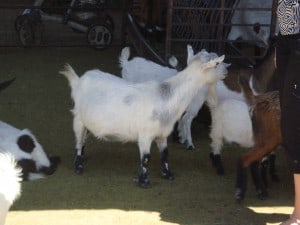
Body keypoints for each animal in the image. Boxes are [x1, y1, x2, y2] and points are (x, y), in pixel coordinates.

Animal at [61, 53, 227, 187]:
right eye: (216, 63)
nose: (227, 70)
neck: (166, 97)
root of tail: (78, 80)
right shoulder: (145, 135)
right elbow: (146, 158)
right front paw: (144, 181)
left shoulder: (162, 134)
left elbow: (165, 154)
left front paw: (168, 174)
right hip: (78, 118)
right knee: (78, 141)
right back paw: (78, 166)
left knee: (83, 139)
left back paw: (82, 158)